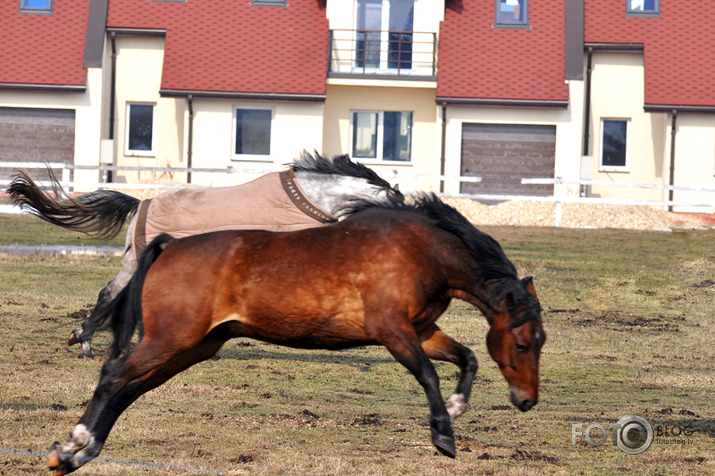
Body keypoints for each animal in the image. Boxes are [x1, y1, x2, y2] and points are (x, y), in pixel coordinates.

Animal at [9, 152, 402, 356]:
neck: (307, 196)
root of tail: (141, 203)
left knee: (109, 293)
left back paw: (83, 339)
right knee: (112, 294)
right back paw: (89, 342)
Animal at [47, 195, 544, 474]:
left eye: (540, 343)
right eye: (522, 343)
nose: (527, 401)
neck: (421, 250)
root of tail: (171, 244)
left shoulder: (421, 331)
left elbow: (466, 358)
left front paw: (456, 410)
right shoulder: (393, 332)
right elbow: (429, 375)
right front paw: (443, 434)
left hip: (191, 347)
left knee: (129, 391)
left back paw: (75, 455)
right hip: (169, 341)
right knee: (113, 374)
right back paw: (76, 443)